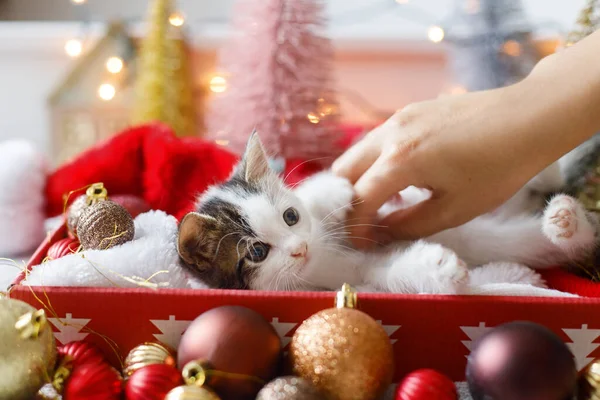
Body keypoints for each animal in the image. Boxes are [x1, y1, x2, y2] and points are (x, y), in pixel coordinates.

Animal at [178, 132, 600, 294]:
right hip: (500, 240)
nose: (300, 248)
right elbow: (391, 273)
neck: (321, 258)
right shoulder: (354, 278)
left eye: (290, 217)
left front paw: (336, 189)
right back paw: (566, 222)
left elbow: (324, 190)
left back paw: (552, 184)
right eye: (257, 252)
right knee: (551, 242)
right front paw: (440, 269)